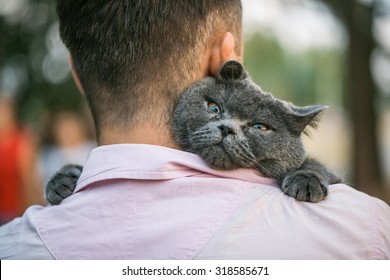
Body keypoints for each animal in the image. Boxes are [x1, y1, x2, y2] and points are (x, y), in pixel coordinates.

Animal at [45, 60, 340, 205]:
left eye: (259, 127)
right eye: (214, 107)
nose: (226, 128)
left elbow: (315, 165)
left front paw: (306, 180)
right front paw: (63, 180)